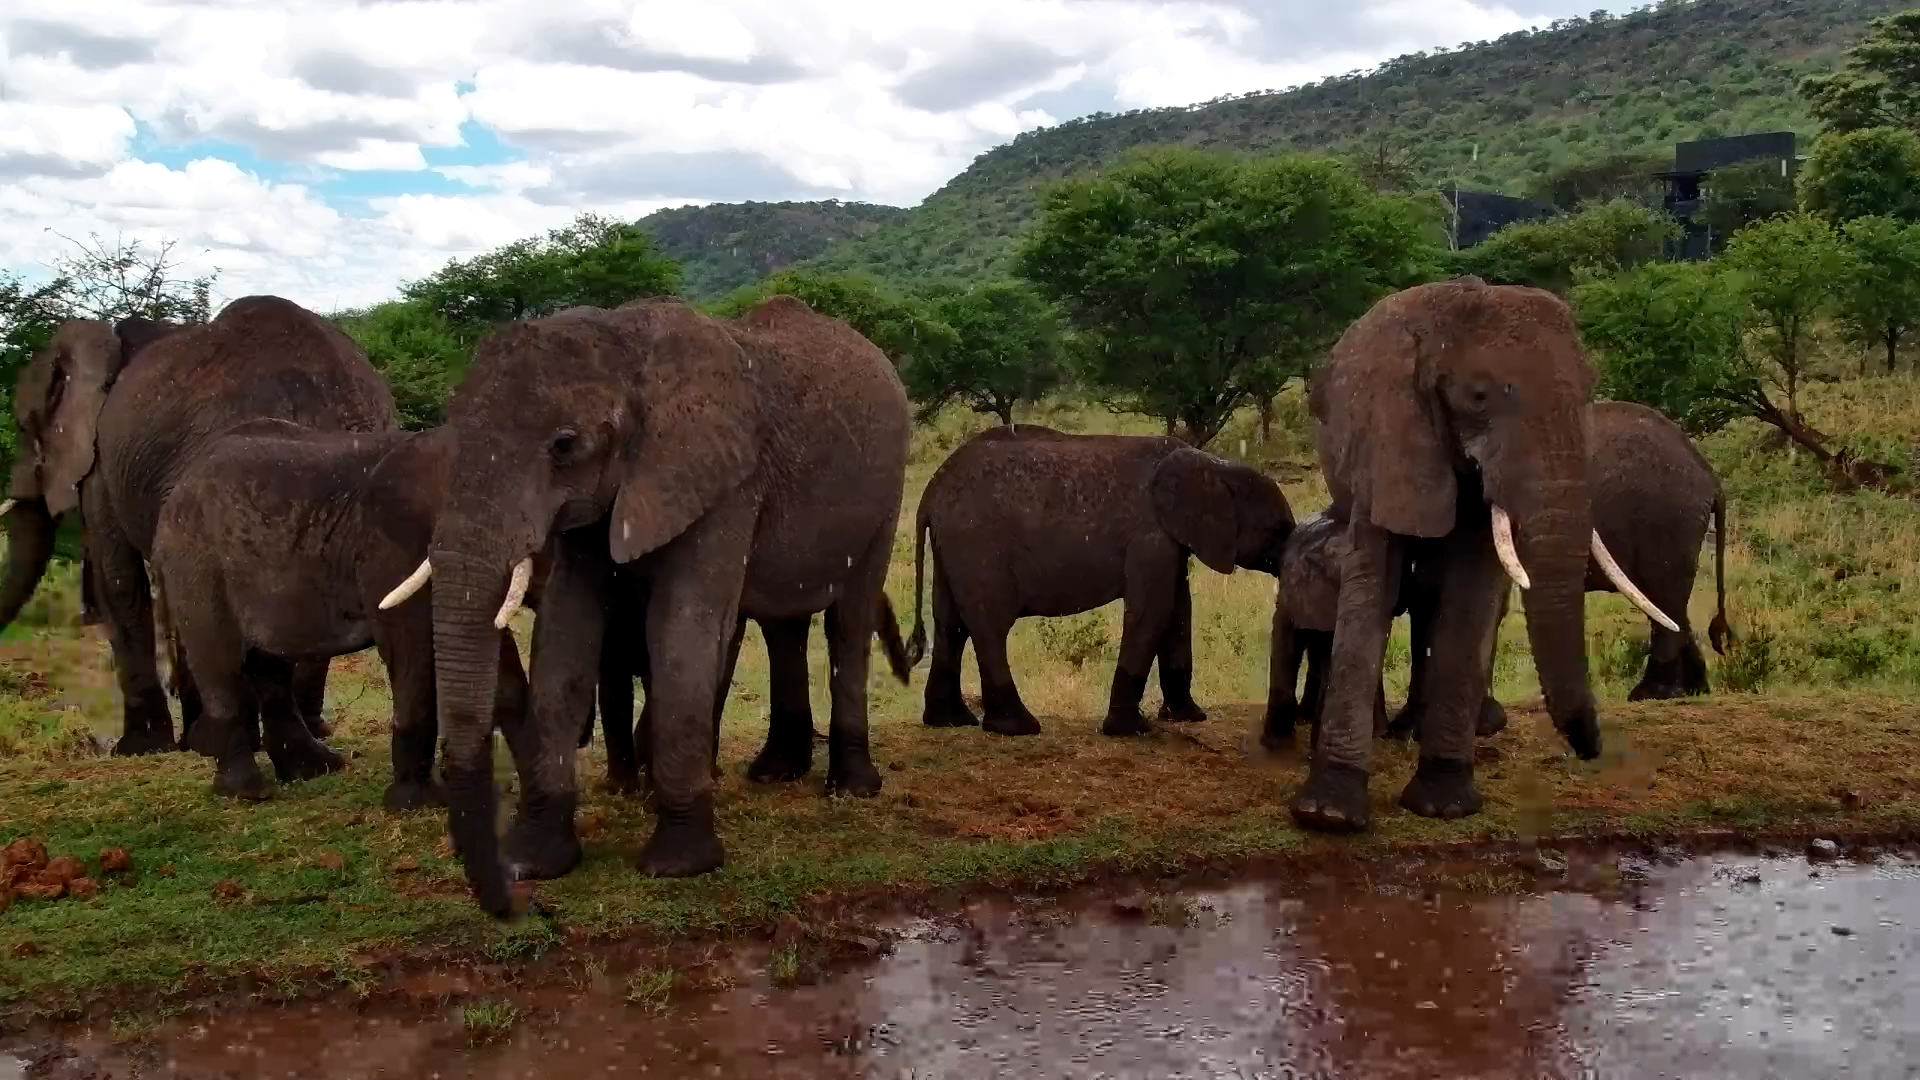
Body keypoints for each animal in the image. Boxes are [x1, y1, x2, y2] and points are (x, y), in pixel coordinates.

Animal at [378, 295, 913, 916]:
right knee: (784, 625)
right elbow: (566, 633)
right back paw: (775, 773)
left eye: (564, 445)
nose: (506, 898)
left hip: (886, 491)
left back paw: (851, 789)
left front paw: (678, 865)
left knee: (848, 620)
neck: (624, 341)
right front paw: (536, 858)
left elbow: (681, 629)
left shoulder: (726, 481)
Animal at [904, 424, 1295, 738]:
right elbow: (1152, 612)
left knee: (950, 625)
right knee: (989, 627)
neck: (1214, 466)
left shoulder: (1170, 542)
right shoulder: (1149, 536)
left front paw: (1189, 718)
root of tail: (932, 490)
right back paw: (1018, 728)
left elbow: (1178, 613)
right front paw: (1131, 731)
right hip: (978, 545)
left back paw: (951, 721)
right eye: (1279, 531)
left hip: (954, 549)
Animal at [1267, 401, 1730, 748]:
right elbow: (1427, 600)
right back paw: (1694, 690)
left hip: (1667, 519)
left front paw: (1475, 726)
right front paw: (1411, 730)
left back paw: (1652, 694)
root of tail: (1709, 474)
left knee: (1664, 595)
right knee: (1672, 604)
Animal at [1290, 277, 1676, 833]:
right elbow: (1373, 582)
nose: (1590, 749)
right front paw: (1329, 814)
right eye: (1477, 397)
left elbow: (1471, 594)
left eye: (1588, 393)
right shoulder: (1386, 440)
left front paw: (1444, 805)